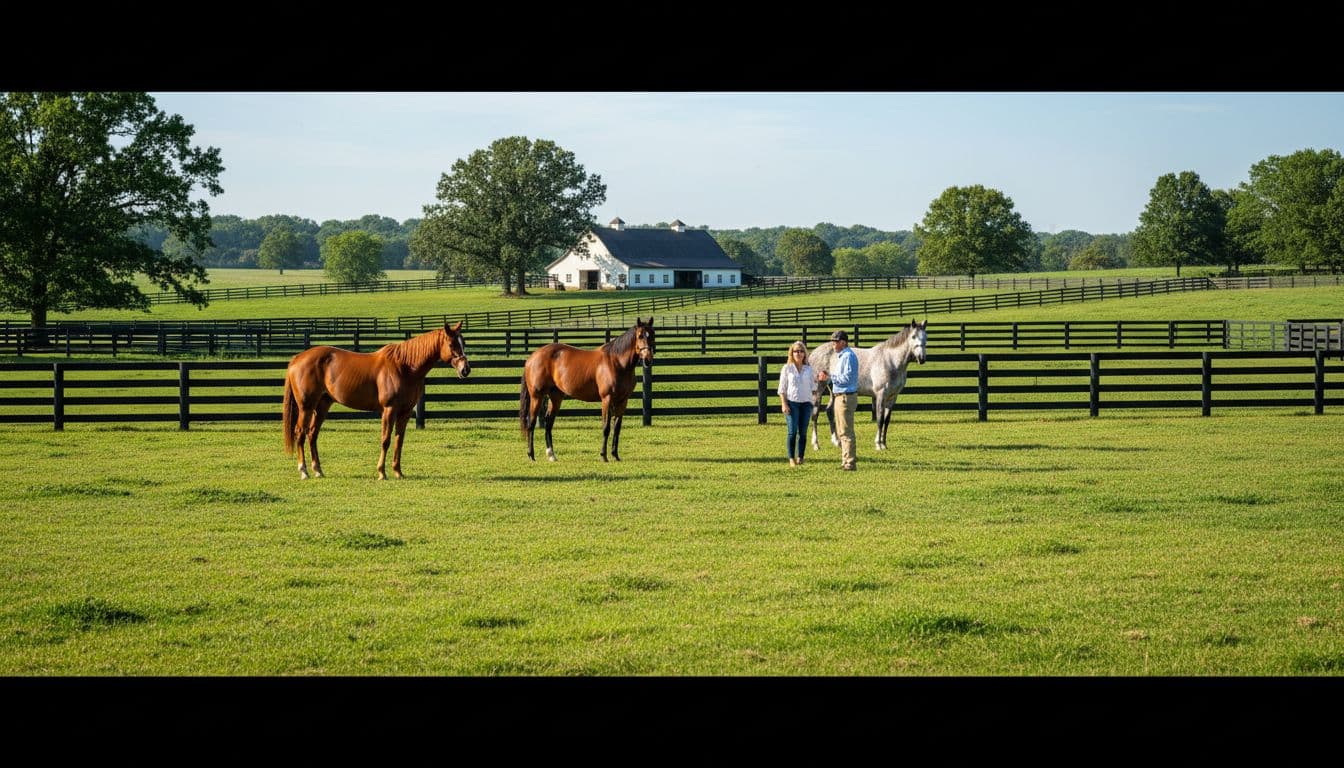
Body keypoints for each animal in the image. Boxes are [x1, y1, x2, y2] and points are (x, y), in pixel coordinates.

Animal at [282, 321, 470, 480]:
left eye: (464, 343)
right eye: (452, 344)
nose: (465, 369)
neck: (405, 367)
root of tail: (297, 358)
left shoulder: (405, 412)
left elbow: (399, 440)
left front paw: (398, 472)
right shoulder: (389, 410)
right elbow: (385, 440)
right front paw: (382, 473)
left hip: (322, 405)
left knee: (312, 434)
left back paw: (318, 470)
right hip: (306, 407)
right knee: (300, 432)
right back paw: (304, 471)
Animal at [520, 318, 655, 462]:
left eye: (652, 334)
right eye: (640, 335)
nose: (648, 359)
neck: (617, 362)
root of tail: (532, 357)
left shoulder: (623, 401)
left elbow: (617, 428)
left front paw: (615, 455)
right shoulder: (606, 399)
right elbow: (606, 427)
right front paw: (603, 456)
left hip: (556, 397)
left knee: (549, 423)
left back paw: (551, 455)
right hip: (537, 396)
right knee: (531, 423)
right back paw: (531, 455)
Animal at [808, 320, 927, 451]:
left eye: (925, 337)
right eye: (913, 336)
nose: (922, 358)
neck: (890, 361)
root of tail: (813, 353)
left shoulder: (893, 397)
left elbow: (887, 420)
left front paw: (884, 444)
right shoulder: (880, 395)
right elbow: (880, 418)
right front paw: (878, 444)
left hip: (834, 390)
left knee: (829, 411)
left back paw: (837, 442)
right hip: (818, 390)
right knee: (815, 414)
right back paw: (816, 444)